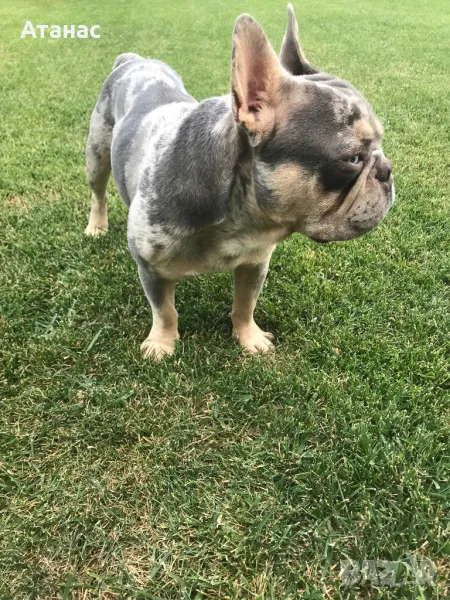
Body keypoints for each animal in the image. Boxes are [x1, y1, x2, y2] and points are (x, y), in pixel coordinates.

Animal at [85, 4, 394, 360]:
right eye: (353, 159)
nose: (387, 170)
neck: (241, 216)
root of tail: (133, 60)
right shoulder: (149, 268)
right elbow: (164, 310)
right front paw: (162, 343)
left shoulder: (255, 263)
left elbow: (246, 303)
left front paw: (248, 337)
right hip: (97, 154)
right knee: (98, 193)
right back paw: (96, 226)